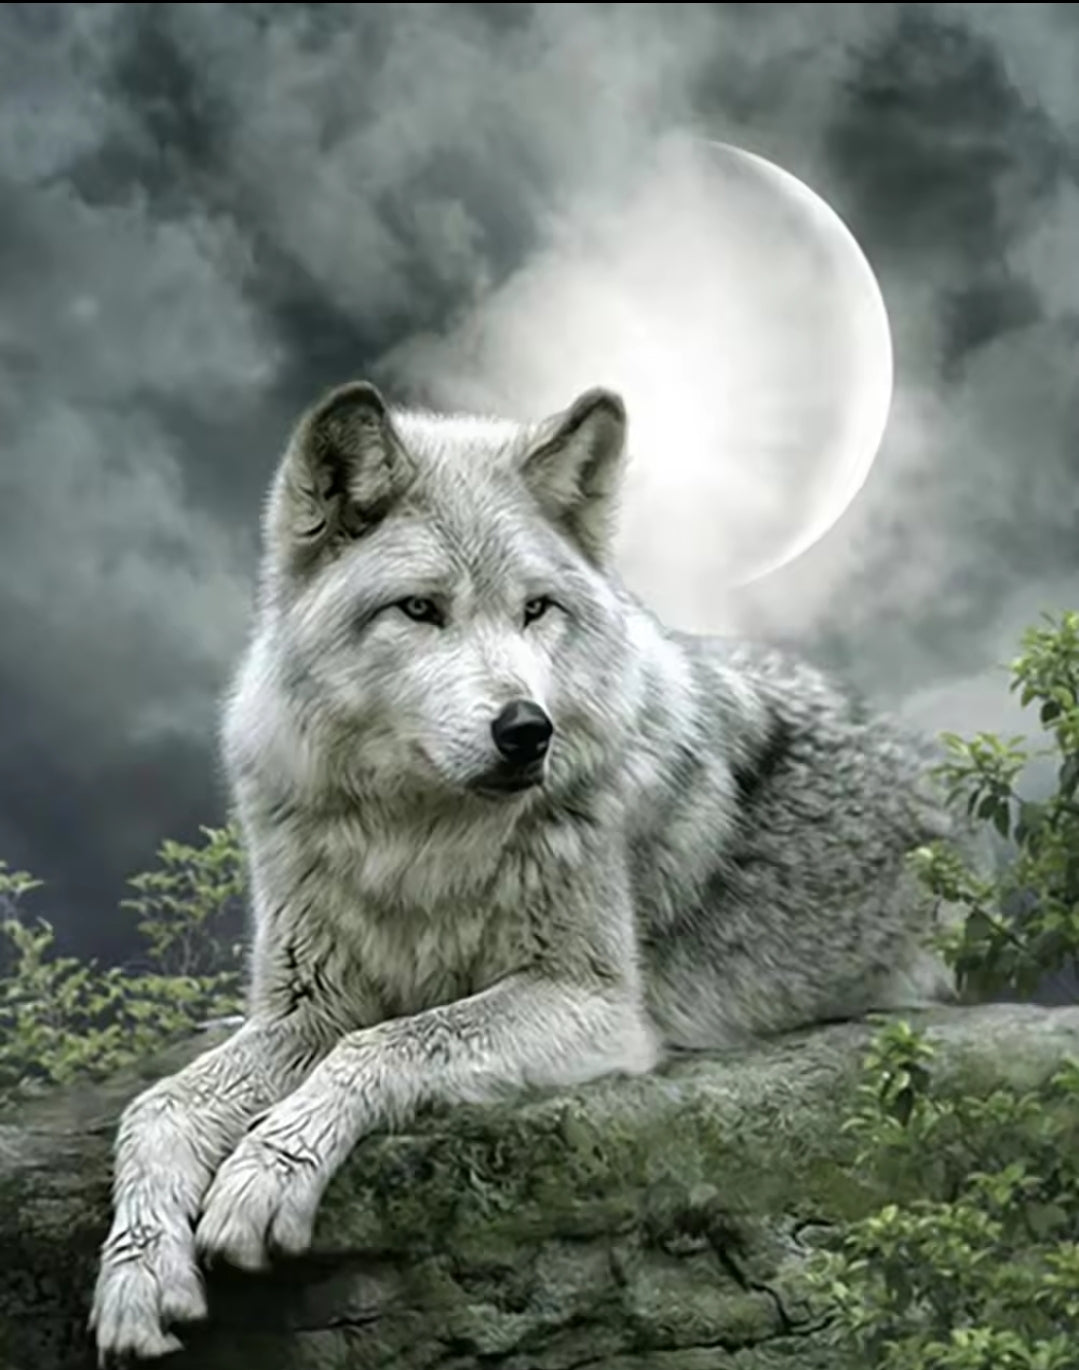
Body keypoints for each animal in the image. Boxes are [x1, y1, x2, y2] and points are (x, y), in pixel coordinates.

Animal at [90, 380, 958, 1361]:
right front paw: (137, 1275)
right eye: (420, 610)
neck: (418, 839)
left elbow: (388, 1043)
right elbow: (155, 1108)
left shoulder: (594, 1004)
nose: (525, 730)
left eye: (536, 609)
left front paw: (263, 1174)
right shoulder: (305, 1007)